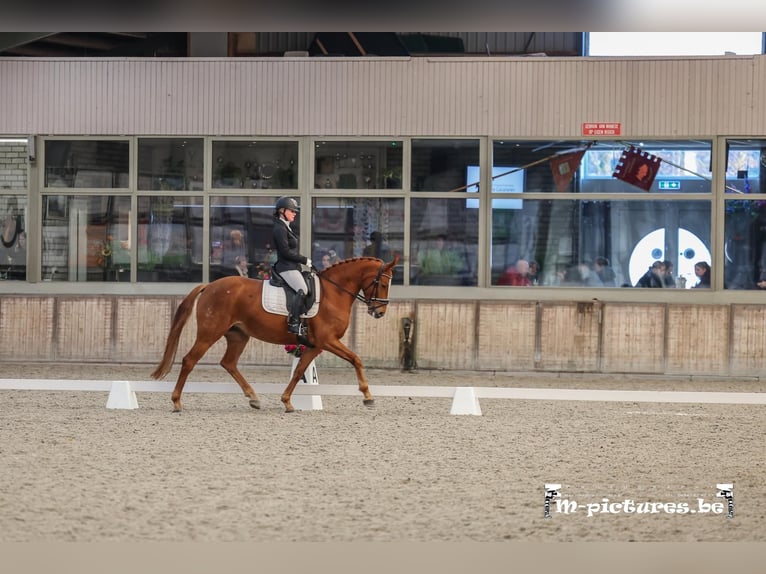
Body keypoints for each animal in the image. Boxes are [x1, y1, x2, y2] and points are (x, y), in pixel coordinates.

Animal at [152, 256, 402, 414]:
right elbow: (356, 359)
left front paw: (287, 402)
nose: (379, 312)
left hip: (238, 335)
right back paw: (176, 402)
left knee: (229, 363)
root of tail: (210, 285)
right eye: (383, 284)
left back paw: (253, 398)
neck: (334, 292)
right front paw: (368, 397)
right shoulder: (328, 341)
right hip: (210, 332)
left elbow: (300, 371)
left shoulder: (315, 345)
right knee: (189, 360)